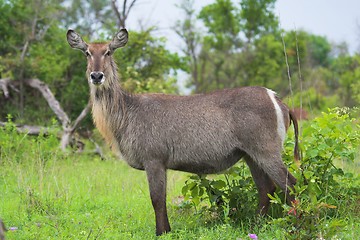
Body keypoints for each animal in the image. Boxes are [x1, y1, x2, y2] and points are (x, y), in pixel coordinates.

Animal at [66, 28, 300, 236]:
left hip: (266, 152)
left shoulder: (154, 160)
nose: (97, 75)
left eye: (108, 51)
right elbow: (161, 199)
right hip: (251, 156)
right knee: (266, 189)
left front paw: (161, 233)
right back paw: (256, 226)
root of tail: (278, 99)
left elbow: (157, 199)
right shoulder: (159, 163)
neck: (126, 112)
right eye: (87, 52)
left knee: (291, 184)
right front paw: (167, 230)